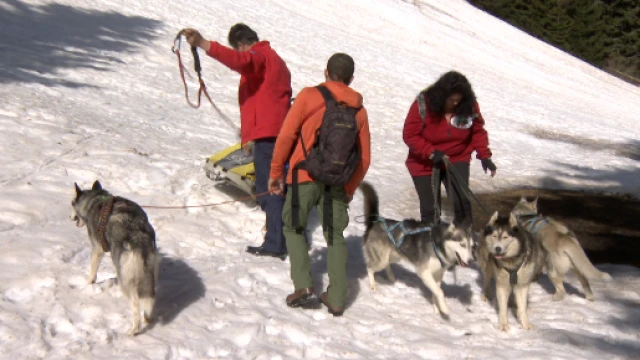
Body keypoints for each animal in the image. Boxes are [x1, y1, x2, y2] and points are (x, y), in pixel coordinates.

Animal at [70, 181, 159, 336]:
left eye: (71, 204)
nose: (70, 217)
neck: (96, 199)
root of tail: (138, 238)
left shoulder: (97, 250)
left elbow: (92, 274)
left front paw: (88, 285)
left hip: (125, 281)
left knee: (135, 304)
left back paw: (134, 330)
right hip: (149, 277)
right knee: (150, 300)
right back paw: (147, 319)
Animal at [360, 181, 476, 316]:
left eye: (472, 246)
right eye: (462, 244)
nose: (471, 261)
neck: (438, 245)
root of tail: (375, 222)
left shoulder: (438, 274)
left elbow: (436, 292)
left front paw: (437, 309)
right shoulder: (424, 272)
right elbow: (440, 291)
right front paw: (445, 309)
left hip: (395, 255)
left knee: (387, 264)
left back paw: (391, 277)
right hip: (380, 260)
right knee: (370, 268)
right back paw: (373, 284)